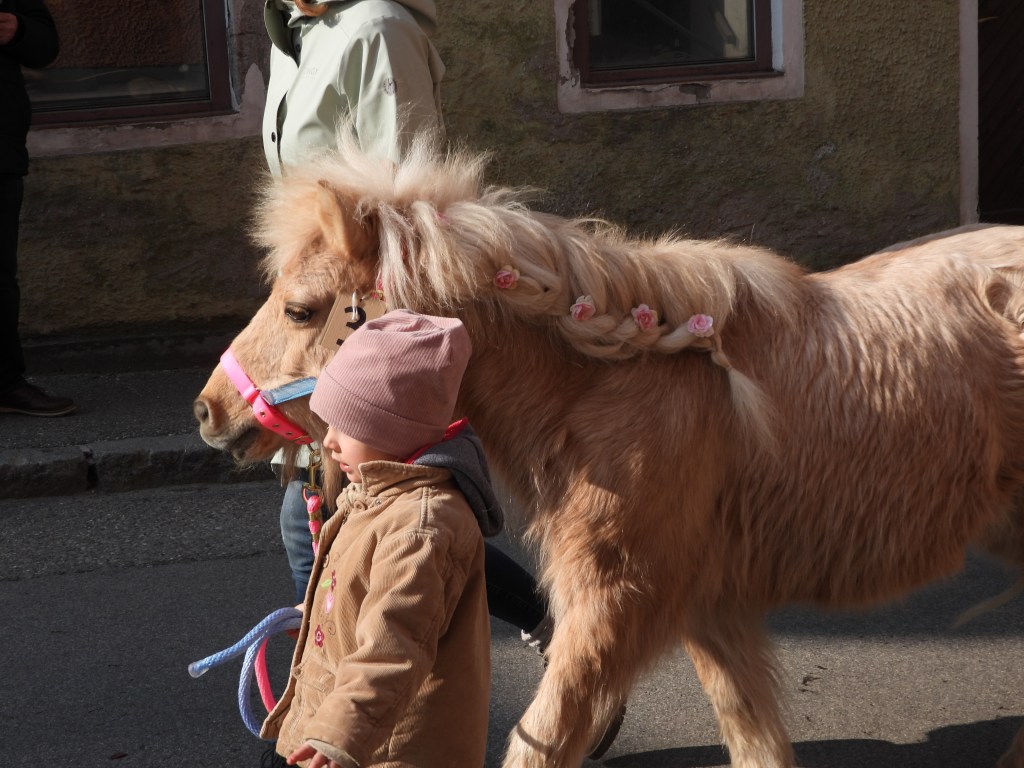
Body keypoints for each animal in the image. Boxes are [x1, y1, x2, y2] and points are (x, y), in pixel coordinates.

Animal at [194, 129, 1024, 768]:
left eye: (301, 309)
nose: (209, 411)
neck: (610, 383)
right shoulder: (707, 608)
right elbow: (751, 729)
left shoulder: (613, 607)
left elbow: (541, 738)